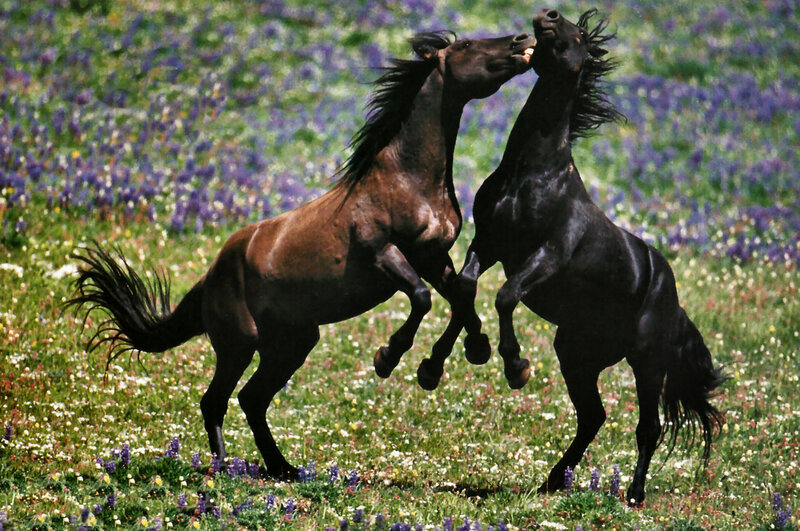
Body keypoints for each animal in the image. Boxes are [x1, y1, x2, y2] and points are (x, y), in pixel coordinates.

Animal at [67, 30, 536, 479]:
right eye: (468, 44)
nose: (523, 41)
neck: (407, 179)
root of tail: (210, 276)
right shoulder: (384, 254)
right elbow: (422, 299)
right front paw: (389, 358)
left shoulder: (433, 257)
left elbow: (461, 296)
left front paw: (469, 357)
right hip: (239, 343)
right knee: (215, 400)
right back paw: (224, 469)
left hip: (291, 343)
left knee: (251, 399)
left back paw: (283, 469)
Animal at [416, 9, 726, 505]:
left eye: (579, 35)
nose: (548, 16)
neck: (531, 175)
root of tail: (674, 303)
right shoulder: (490, 243)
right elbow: (465, 287)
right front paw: (437, 364)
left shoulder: (550, 255)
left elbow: (505, 295)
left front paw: (515, 366)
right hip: (577, 355)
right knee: (593, 417)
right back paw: (550, 481)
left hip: (647, 362)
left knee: (648, 427)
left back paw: (634, 495)